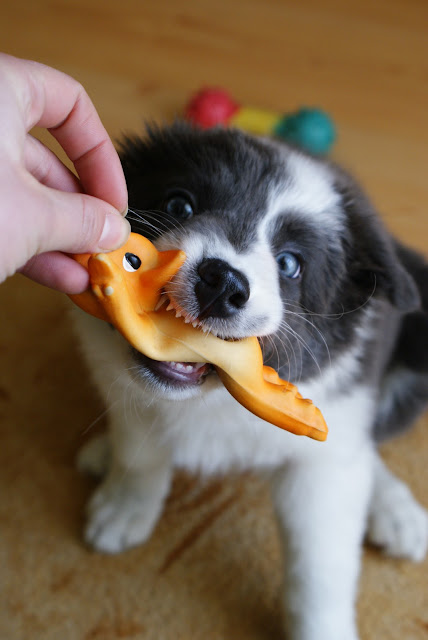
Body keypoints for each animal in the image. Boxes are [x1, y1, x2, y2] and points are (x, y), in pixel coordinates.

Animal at [74, 123, 428, 640]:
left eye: (289, 264)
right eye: (180, 205)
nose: (221, 282)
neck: (211, 400)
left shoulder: (322, 461)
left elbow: (319, 566)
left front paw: (322, 629)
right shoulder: (123, 383)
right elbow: (140, 452)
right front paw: (126, 505)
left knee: (364, 451)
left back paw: (395, 509)